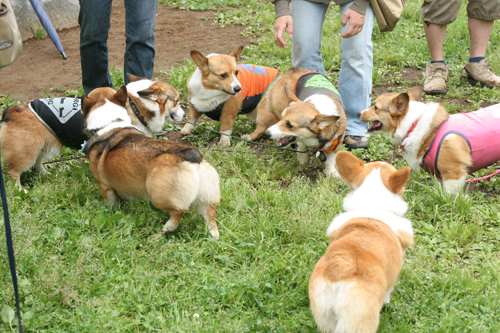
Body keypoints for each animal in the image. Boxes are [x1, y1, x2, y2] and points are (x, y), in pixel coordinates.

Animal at [0, 73, 184, 191]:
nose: (184, 115)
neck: (135, 106)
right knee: (13, 171)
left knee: (36, 164)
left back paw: (46, 174)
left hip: (39, 146)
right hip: (27, 150)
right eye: (176, 101)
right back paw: (20, 190)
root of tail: (12, 111)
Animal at [81, 84, 220, 237]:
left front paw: (110, 211)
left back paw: (168, 227)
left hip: (158, 196)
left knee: (179, 210)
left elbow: (110, 201)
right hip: (206, 199)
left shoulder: (104, 185)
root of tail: (192, 155)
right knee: (210, 216)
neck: (111, 122)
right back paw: (213, 235)